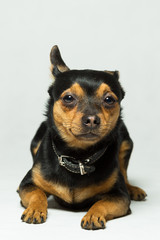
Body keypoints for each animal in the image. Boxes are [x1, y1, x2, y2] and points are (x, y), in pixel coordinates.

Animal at [18, 45, 147, 231]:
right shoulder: (28, 184)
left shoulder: (120, 196)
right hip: (35, 142)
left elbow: (102, 202)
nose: (92, 119)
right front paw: (35, 209)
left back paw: (133, 189)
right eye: (68, 98)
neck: (78, 157)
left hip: (126, 144)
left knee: (124, 172)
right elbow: (37, 193)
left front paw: (93, 215)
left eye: (109, 99)